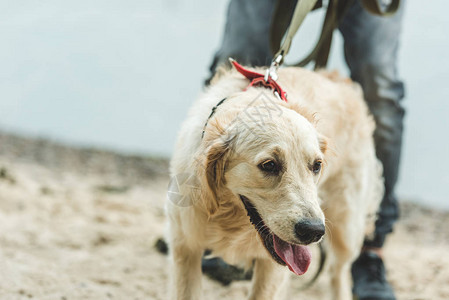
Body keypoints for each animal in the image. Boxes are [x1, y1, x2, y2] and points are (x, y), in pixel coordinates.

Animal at [164, 63, 382, 300]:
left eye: (316, 165)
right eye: (269, 165)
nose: (314, 231)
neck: (230, 218)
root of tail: (337, 78)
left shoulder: (272, 269)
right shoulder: (185, 247)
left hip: (347, 226)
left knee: (338, 270)